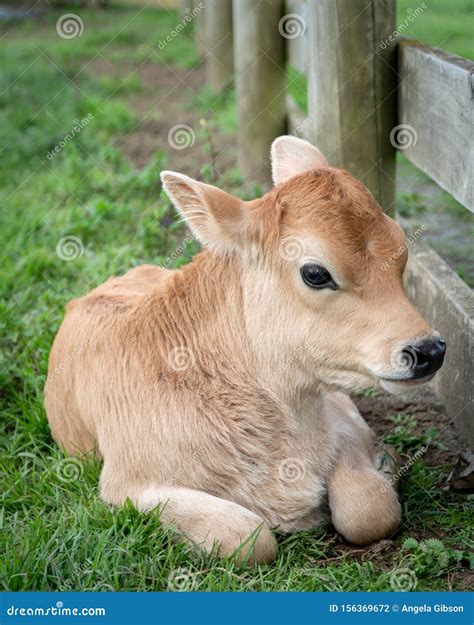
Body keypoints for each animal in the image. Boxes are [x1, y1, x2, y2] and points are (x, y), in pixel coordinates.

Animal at [44, 135, 444, 560]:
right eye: (315, 273)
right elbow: (250, 538)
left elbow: (369, 510)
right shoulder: (127, 484)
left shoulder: (340, 415)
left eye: (401, 247)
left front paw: (387, 463)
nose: (429, 350)